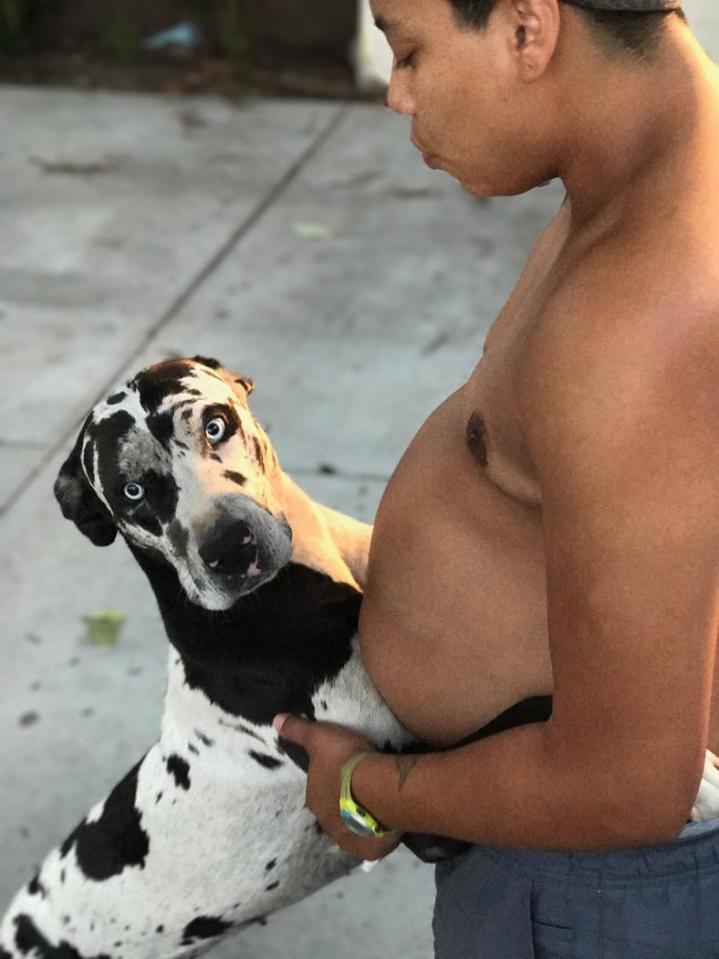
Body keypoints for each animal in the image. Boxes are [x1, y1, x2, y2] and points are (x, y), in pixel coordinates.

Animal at [4, 358, 719, 959]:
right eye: (131, 491)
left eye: (215, 424)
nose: (230, 548)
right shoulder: (423, 812)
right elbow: (522, 716)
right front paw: (700, 785)